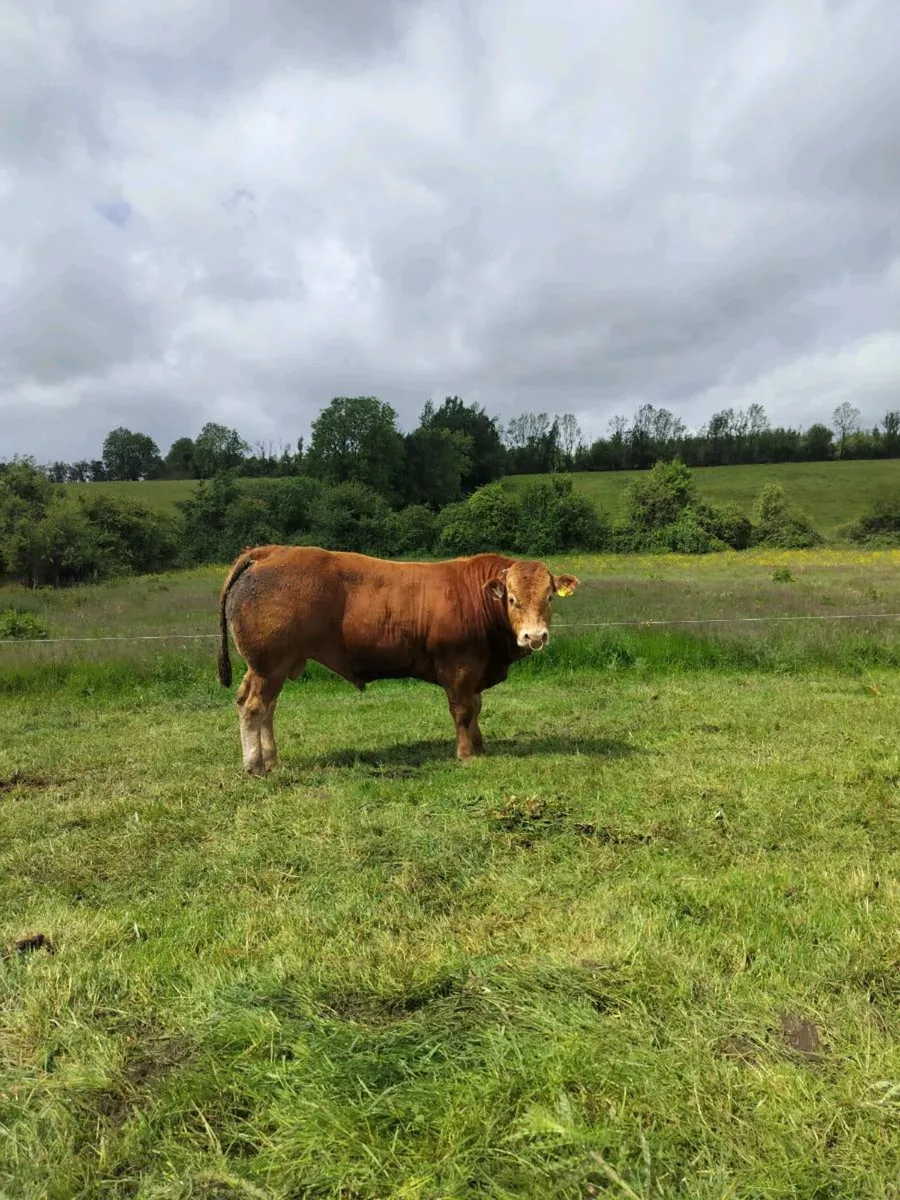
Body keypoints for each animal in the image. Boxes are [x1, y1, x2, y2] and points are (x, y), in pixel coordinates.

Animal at [217, 544, 581, 775]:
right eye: (512, 598)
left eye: (549, 597)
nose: (535, 636)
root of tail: (270, 550)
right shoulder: (459, 667)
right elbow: (463, 711)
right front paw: (466, 754)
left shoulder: (475, 670)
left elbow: (476, 708)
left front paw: (480, 747)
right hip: (269, 665)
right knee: (254, 708)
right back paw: (254, 765)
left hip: (267, 667)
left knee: (263, 707)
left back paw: (271, 760)